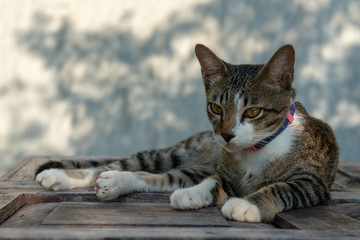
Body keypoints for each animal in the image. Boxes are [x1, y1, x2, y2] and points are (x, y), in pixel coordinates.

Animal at [35, 43, 338, 223]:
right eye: (216, 107)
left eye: (253, 111)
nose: (226, 136)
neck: (256, 150)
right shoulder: (224, 170)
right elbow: (215, 180)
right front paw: (197, 193)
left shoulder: (312, 183)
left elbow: (282, 188)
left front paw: (245, 205)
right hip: (179, 152)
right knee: (135, 165)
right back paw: (62, 176)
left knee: (159, 177)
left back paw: (118, 182)